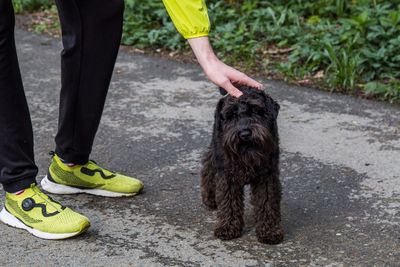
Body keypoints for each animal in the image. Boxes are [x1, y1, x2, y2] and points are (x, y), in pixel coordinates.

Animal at [199, 86, 282, 245]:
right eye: (231, 115)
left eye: (256, 110)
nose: (244, 134)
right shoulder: (227, 176)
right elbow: (229, 202)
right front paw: (228, 227)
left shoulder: (267, 177)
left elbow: (267, 202)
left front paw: (269, 231)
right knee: (208, 169)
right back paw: (210, 199)